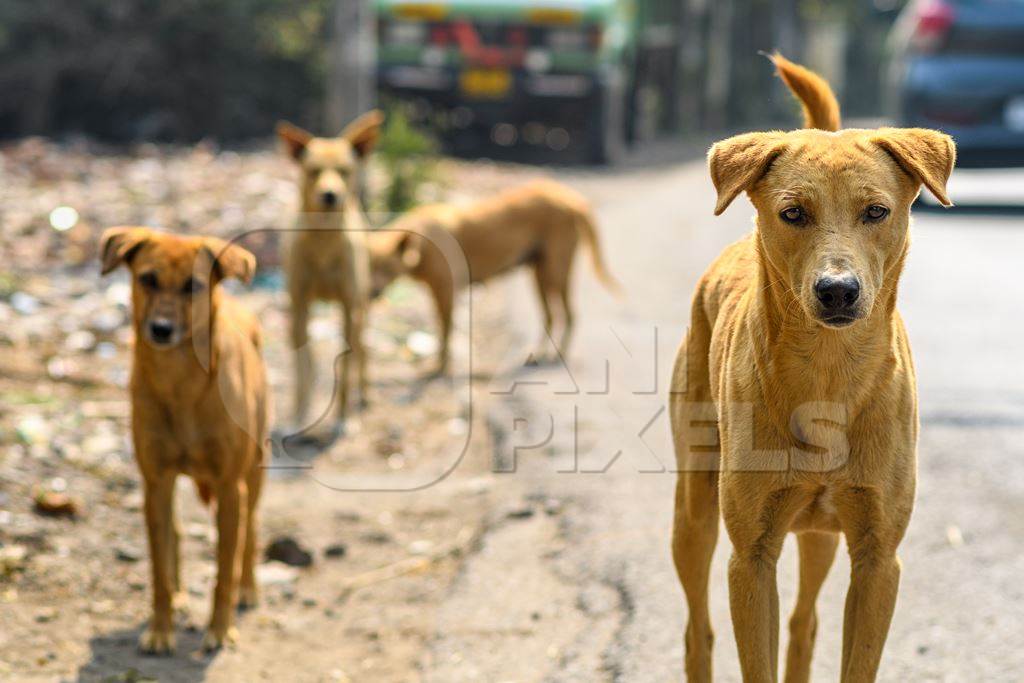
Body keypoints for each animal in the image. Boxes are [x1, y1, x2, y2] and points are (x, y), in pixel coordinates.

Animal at [98, 227, 268, 655]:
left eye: (193, 285)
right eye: (147, 279)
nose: (161, 328)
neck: (179, 384)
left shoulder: (230, 487)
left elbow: (224, 567)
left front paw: (220, 629)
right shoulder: (155, 482)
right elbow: (159, 568)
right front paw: (161, 628)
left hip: (255, 470)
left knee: (251, 530)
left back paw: (248, 588)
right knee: (173, 534)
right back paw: (178, 595)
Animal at [370, 178, 618, 374]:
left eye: (387, 267)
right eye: (370, 267)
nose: (372, 293)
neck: (421, 242)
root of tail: (571, 198)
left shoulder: (446, 292)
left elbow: (445, 331)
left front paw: (441, 367)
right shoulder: (438, 294)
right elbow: (442, 330)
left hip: (555, 272)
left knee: (570, 314)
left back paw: (559, 356)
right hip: (540, 275)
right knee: (550, 316)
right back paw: (539, 354)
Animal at [667, 54, 954, 683]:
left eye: (876, 211)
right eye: (793, 213)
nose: (838, 290)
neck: (829, 372)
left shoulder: (878, 557)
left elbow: (852, 656)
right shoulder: (750, 557)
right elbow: (755, 658)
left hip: (822, 530)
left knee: (804, 625)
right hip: (694, 508)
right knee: (698, 628)